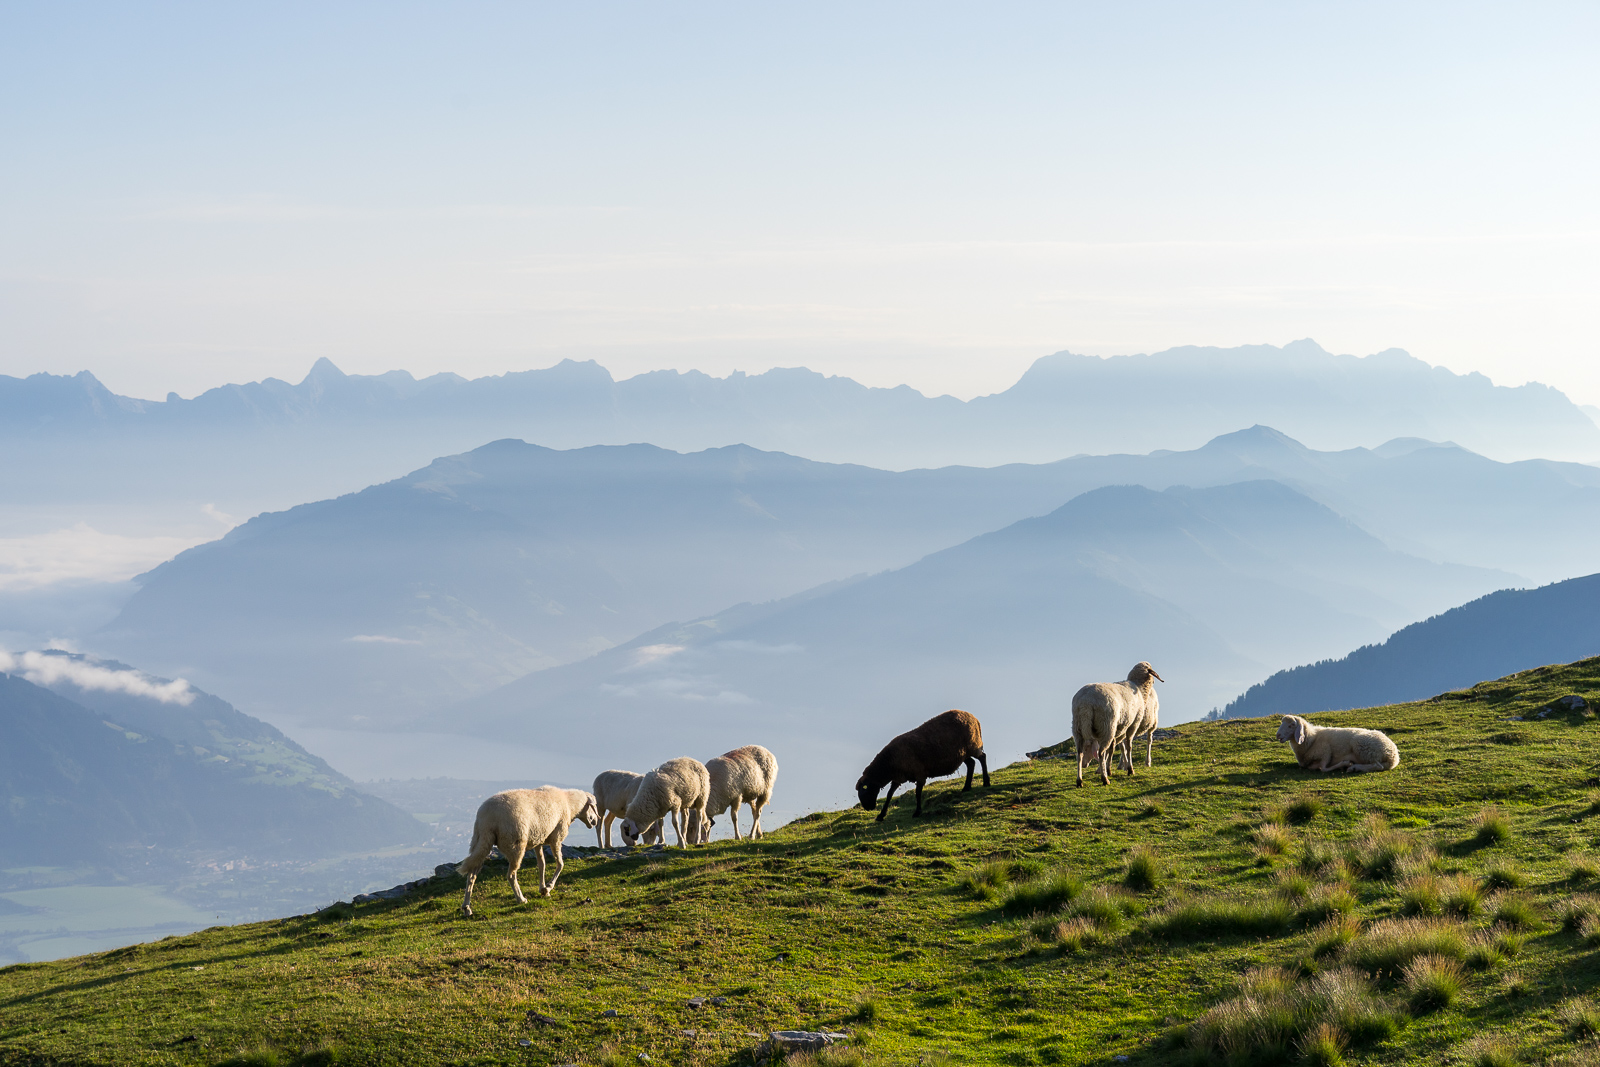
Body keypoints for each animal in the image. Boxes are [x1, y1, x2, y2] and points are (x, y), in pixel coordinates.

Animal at [457, 783, 601, 921]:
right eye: (594, 806)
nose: (595, 821)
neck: (570, 804)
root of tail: (488, 818)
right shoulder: (556, 837)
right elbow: (560, 864)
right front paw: (549, 886)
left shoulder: (539, 840)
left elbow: (541, 865)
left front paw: (543, 889)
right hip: (515, 843)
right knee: (511, 875)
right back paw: (521, 899)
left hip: (480, 840)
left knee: (472, 874)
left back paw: (467, 908)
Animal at [851, 710, 985, 825]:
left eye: (864, 789)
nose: (868, 808)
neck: (889, 764)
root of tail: (974, 718)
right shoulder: (898, 777)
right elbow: (889, 794)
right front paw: (881, 815)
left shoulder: (919, 773)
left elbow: (917, 793)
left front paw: (917, 812)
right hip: (962, 753)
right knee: (971, 763)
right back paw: (966, 787)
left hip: (973, 744)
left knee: (982, 758)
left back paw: (986, 783)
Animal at [1075, 662, 1164, 790]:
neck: (1139, 688)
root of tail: (1086, 702)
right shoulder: (1133, 724)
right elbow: (1128, 746)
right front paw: (1130, 769)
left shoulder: (1119, 729)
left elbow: (1113, 748)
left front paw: (1110, 769)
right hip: (1106, 726)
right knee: (1101, 753)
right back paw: (1105, 779)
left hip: (1078, 728)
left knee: (1079, 753)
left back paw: (1079, 781)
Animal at [1273, 716, 1401, 777]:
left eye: (1291, 725)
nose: (1278, 735)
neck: (1311, 739)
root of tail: (1394, 755)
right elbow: (1318, 767)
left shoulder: (1326, 752)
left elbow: (1323, 768)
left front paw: (1345, 764)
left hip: (1364, 748)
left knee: (1377, 765)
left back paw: (1354, 767)